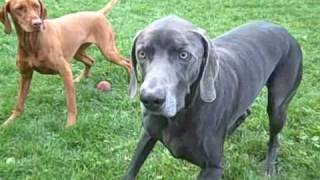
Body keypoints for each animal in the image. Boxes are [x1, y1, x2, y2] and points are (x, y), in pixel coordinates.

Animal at [0, 0, 131, 128]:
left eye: (36, 6)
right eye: (19, 8)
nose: (37, 23)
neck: (32, 42)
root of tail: (98, 13)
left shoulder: (65, 70)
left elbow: (71, 102)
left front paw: (70, 124)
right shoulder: (25, 75)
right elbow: (19, 102)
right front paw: (9, 122)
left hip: (108, 52)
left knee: (128, 63)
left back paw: (130, 81)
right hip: (78, 53)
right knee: (90, 61)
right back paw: (80, 78)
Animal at [125, 15, 302, 180]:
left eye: (184, 55)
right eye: (142, 53)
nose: (150, 99)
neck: (179, 116)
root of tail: (285, 31)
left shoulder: (213, 168)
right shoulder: (147, 135)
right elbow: (130, 170)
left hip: (278, 105)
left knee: (275, 138)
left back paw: (269, 167)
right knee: (244, 113)